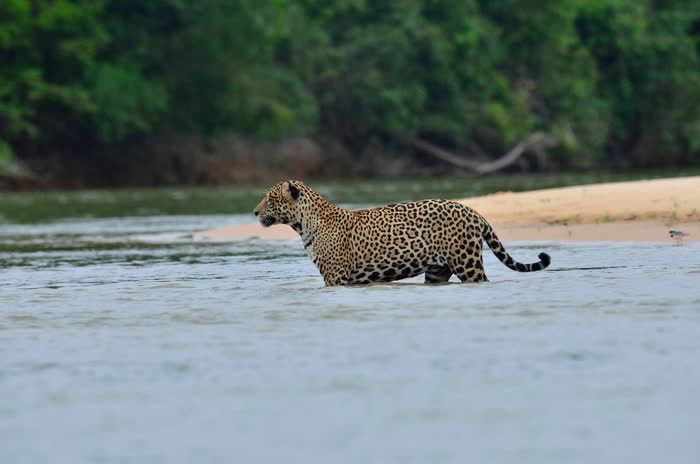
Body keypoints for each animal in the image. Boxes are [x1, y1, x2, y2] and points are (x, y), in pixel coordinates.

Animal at [254, 180, 551, 286]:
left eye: (270, 199)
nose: (255, 212)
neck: (302, 224)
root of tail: (474, 210)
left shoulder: (335, 278)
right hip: (437, 271)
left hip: (468, 264)